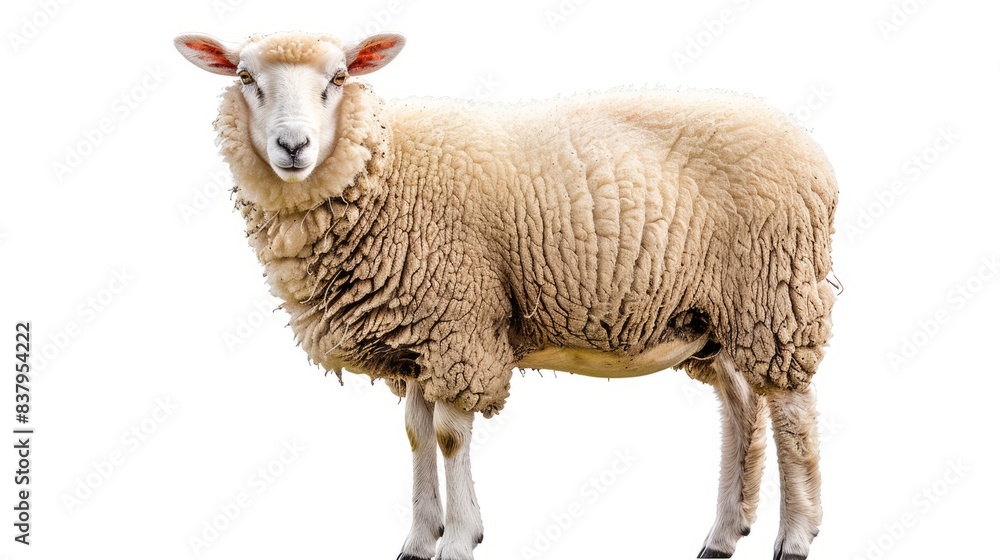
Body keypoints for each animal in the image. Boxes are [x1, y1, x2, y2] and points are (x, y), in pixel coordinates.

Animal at [173, 30, 837, 560]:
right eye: (245, 77)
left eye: (338, 78)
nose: (293, 146)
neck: (386, 169)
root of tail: (811, 149)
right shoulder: (418, 335)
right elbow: (416, 432)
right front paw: (418, 540)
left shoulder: (459, 324)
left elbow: (448, 434)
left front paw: (461, 539)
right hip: (715, 315)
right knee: (741, 403)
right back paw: (723, 535)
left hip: (776, 293)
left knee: (791, 411)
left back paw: (795, 538)